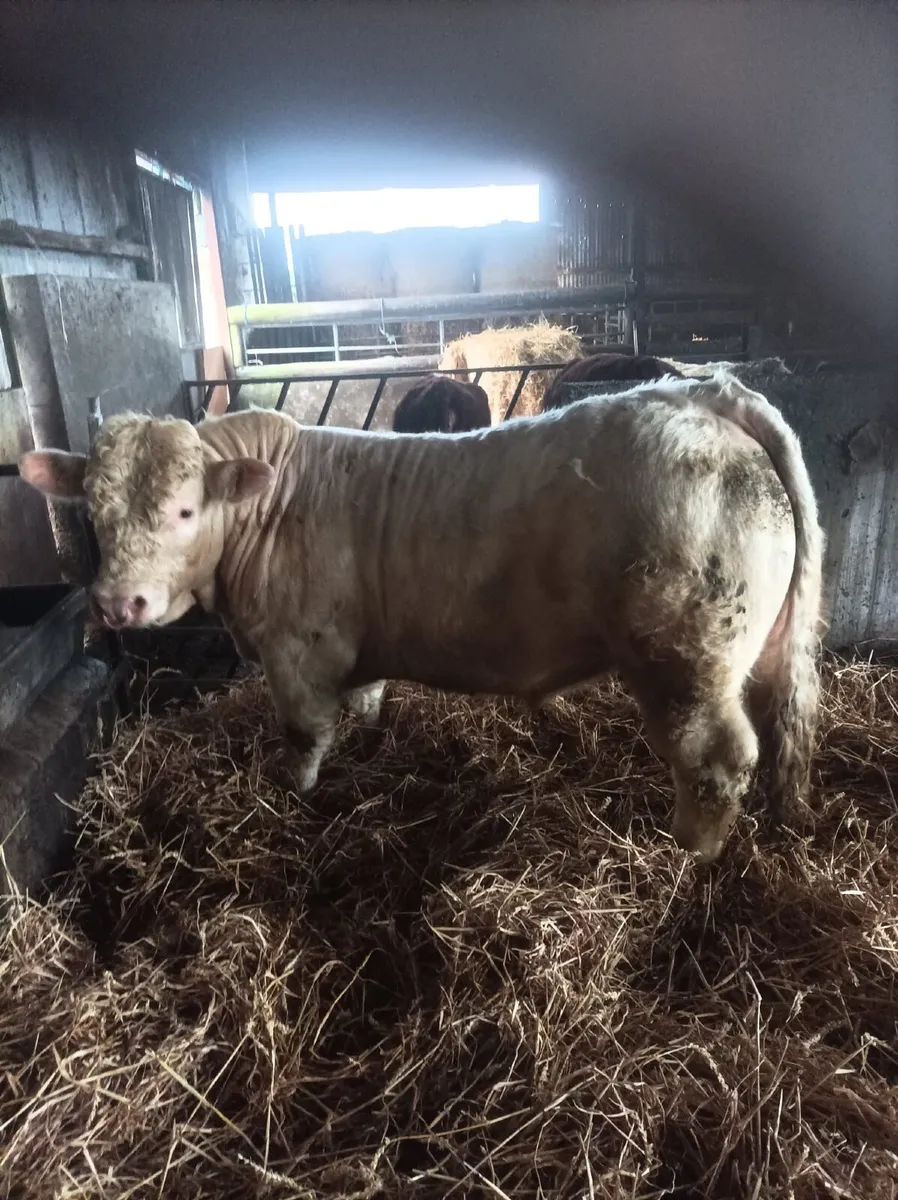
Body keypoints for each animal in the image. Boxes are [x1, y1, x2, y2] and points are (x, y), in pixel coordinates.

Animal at [19, 368, 824, 862]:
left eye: (185, 510)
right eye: (92, 510)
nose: (116, 602)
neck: (269, 509)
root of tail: (697, 396)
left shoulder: (295, 651)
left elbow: (303, 738)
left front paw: (293, 799)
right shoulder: (352, 651)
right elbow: (366, 702)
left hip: (686, 661)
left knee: (717, 757)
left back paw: (690, 849)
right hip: (756, 651)